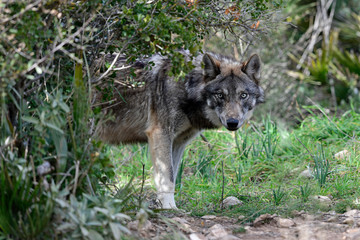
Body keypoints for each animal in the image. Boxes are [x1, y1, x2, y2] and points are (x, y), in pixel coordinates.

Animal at [95, 51, 264, 209]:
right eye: (220, 95)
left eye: (243, 95)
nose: (232, 122)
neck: (186, 86)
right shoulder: (161, 133)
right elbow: (168, 177)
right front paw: (169, 208)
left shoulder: (178, 142)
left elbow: (172, 176)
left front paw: (162, 205)